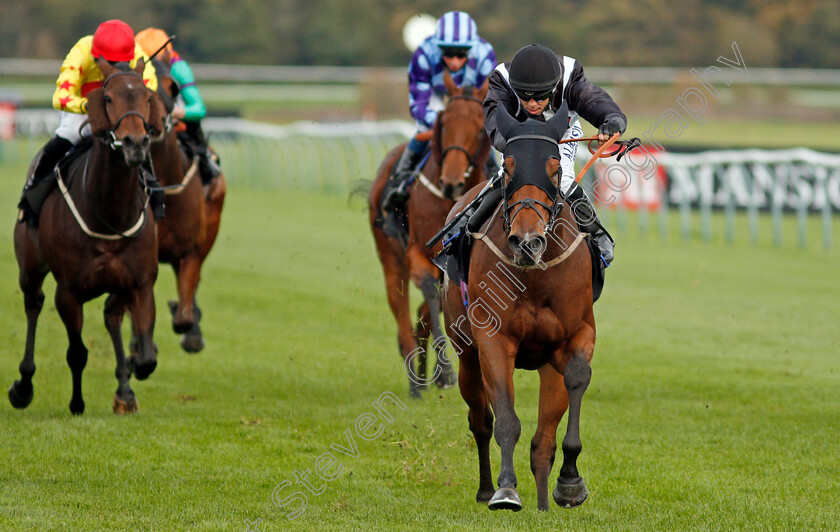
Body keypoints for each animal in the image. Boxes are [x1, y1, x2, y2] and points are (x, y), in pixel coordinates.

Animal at [11, 59, 165, 416]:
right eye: (107, 98)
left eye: (148, 97)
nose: (135, 143)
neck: (110, 213)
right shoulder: (68, 291)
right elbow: (77, 352)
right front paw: (76, 403)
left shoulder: (140, 283)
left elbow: (147, 358)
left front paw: (130, 376)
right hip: (30, 268)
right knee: (33, 304)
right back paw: (23, 385)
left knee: (111, 315)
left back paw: (124, 389)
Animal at [368, 74, 492, 400]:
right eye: (444, 123)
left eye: (479, 127)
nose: (451, 181)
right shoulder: (418, 253)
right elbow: (429, 292)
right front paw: (446, 371)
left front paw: (441, 371)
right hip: (390, 256)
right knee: (401, 311)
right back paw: (415, 380)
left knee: (423, 314)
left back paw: (423, 373)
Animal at [442, 105, 600, 512]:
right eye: (509, 166)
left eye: (555, 168)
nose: (528, 242)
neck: (534, 276)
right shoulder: (493, 340)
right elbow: (505, 420)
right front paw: (506, 490)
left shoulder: (575, 335)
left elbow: (577, 377)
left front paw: (570, 482)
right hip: (465, 351)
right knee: (480, 419)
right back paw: (485, 488)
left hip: (546, 364)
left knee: (542, 441)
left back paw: (545, 500)